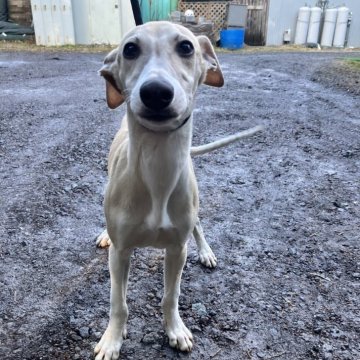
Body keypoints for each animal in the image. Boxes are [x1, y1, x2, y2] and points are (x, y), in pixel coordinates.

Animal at [93, 22, 262, 360]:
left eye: (186, 47)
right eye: (130, 49)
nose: (156, 92)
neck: (158, 167)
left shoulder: (176, 250)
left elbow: (171, 296)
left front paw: (175, 330)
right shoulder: (121, 253)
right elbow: (119, 302)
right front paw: (112, 338)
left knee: (198, 225)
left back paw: (206, 251)